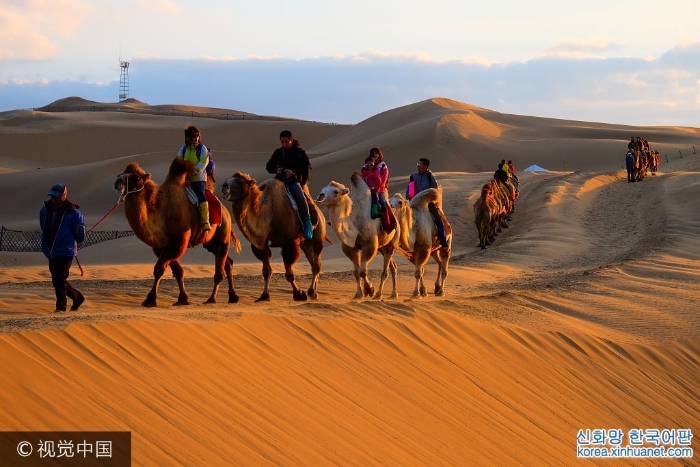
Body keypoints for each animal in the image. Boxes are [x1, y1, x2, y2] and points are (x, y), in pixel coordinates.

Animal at [115, 159, 243, 308]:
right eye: (121, 173)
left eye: (136, 177)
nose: (117, 182)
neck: (161, 214)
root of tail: (227, 212)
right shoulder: (161, 247)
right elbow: (178, 272)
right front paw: (182, 299)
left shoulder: (179, 240)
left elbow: (159, 269)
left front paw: (150, 299)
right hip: (210, 243)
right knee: (228, 263)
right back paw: (232, 296)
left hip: (221, 235)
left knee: (220, 268)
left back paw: (211, 299)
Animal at [220, 172, 326, 304]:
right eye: (227, 179)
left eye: (240, 182)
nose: (224, 186)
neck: (268, 215)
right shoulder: (261, 244)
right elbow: (266, 271)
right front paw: (264, 296)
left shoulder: (289, 243)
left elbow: (289, 274)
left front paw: (299, 294)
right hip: (305, 244)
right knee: (313, 264)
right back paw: (314, 293)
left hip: (316, 239)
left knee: (316, 265)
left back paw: (311, 292)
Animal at [318, 172, 400, 300]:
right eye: (322, 189)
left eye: (336, 191)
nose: (320, 196)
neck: (354, 223)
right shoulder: (350, 247)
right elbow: (356, 272)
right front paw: (358, 294)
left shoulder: (370, 244)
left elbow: (362, 271)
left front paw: (370, 290)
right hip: (381, 247)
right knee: (393, 267)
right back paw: (392, 294)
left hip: (392, 243)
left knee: (385, 270)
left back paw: (380, 294)